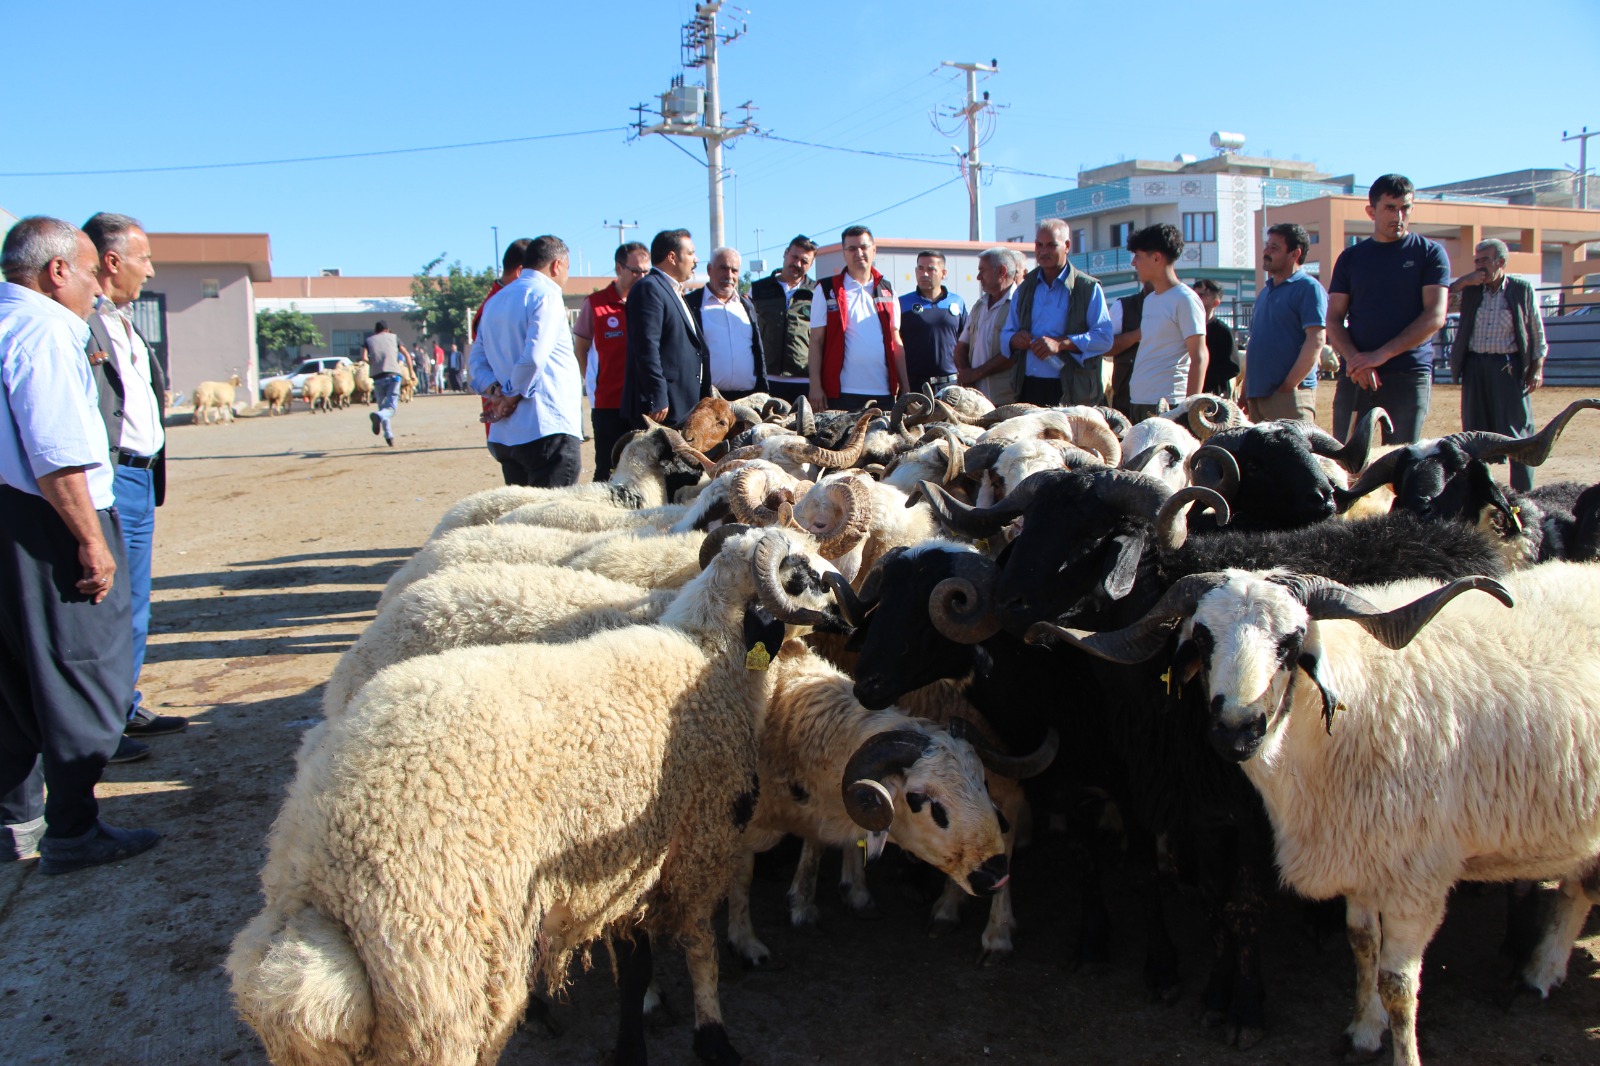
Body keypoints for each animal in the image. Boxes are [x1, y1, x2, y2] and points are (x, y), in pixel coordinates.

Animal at [230, 521, 851, 1062]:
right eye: (799, 574)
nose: (847, 608)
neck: (708, 654)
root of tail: (316, 875)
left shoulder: (623, 868)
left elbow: (635, 968)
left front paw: (633, 1043)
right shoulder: (699, 839)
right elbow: (700, 947)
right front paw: (714, 1038)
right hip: (440, 984)